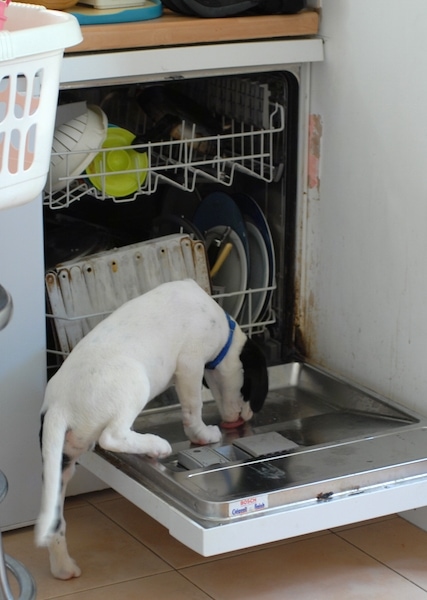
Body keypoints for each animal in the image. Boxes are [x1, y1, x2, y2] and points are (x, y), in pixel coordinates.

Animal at [35, 278, 268, 580]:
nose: (244, 419)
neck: (221, 329)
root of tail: (58, 405)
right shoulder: (190, 364)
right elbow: (193, 407)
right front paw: (203, 435)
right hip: (136, 382)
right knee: (112, 436)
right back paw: (156, 445)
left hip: (61, 465)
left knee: (56, 521)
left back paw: (63, 567)